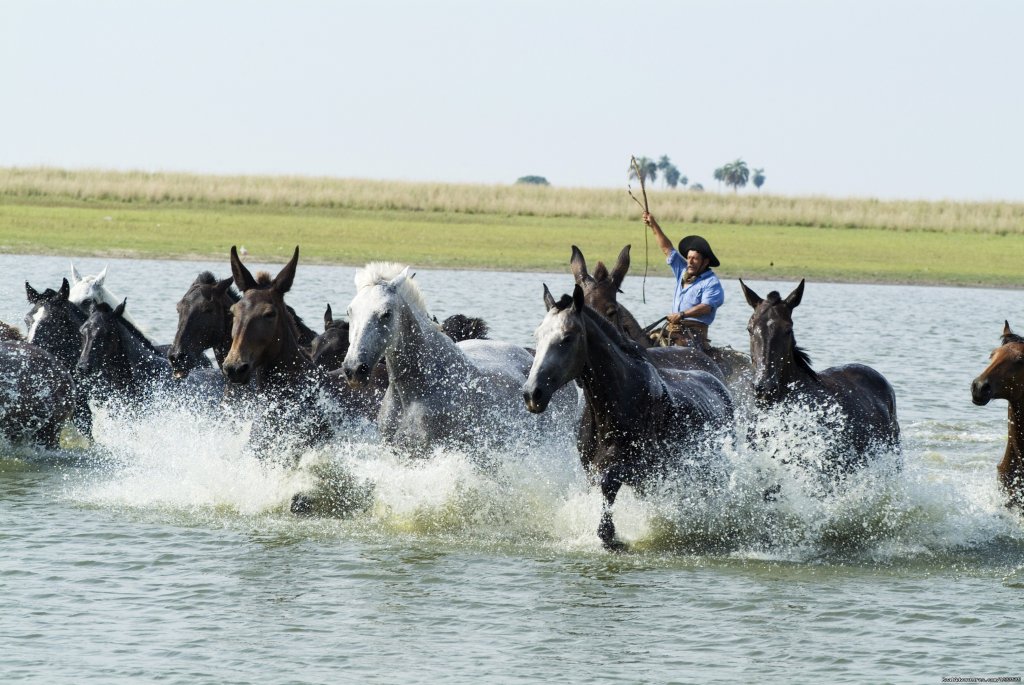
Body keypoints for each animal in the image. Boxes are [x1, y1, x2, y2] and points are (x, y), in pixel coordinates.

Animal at [524, 282, 733, 548]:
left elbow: (609, 483)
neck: (616, 401)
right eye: (537, 336)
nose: (532, 393)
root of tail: (720, 384)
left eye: (567, 337)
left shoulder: (639, 468)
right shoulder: (591, 469)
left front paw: (609, 535)